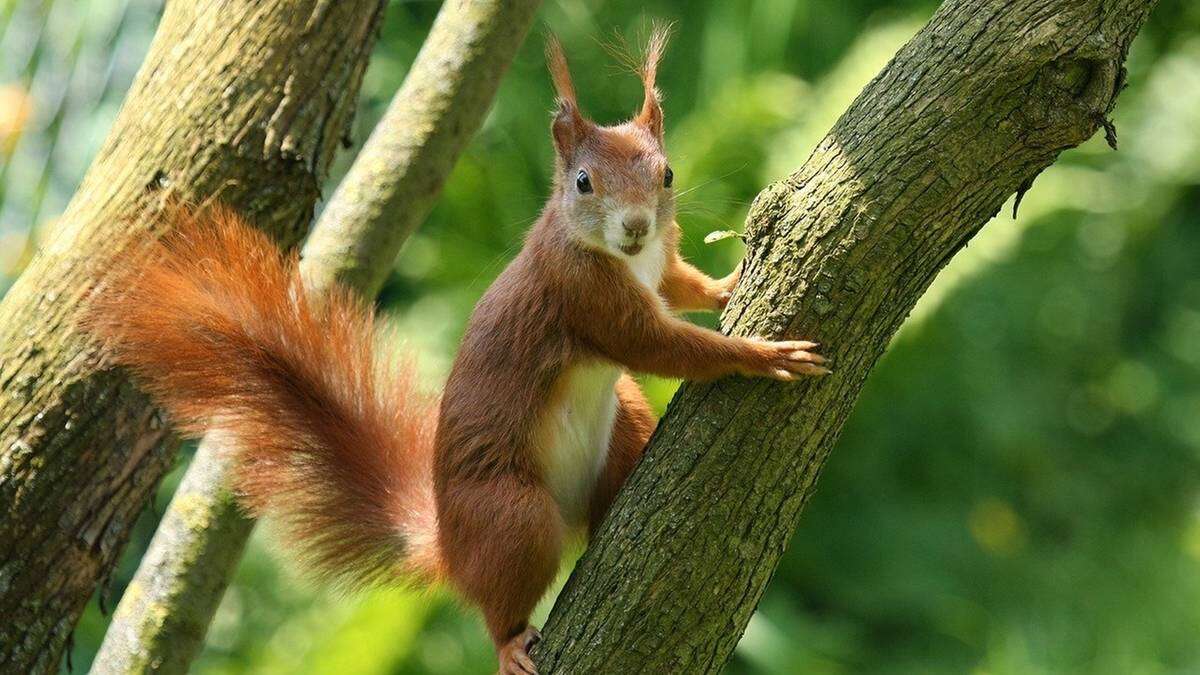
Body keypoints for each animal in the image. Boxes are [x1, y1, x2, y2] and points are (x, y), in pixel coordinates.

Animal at [88, 27, 830, 672]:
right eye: (583, 182)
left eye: (668, 173)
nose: (636, 225)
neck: (625, 258)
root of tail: (450, 544)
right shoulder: (582, 296)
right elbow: (661, 346)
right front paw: (762, 354)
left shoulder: (660, 266)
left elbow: (681, 286)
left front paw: (728, 281)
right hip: (509, 514)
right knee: (500, 596)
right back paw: (508, 643)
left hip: (620, 421)